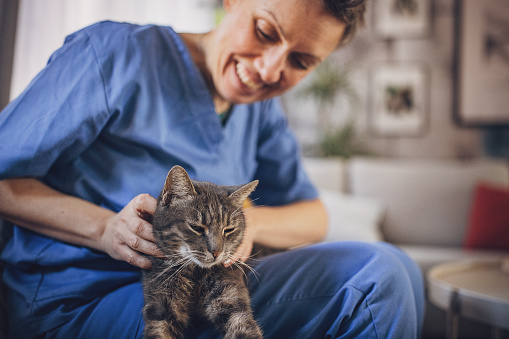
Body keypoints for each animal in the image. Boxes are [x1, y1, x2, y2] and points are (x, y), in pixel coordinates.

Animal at [142, 167, 262, 339]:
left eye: (228, 230)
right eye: (197, 228)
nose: (216, 252)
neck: (196, 274)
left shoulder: (231, 298)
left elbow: (244, 328)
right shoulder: (161, 304)